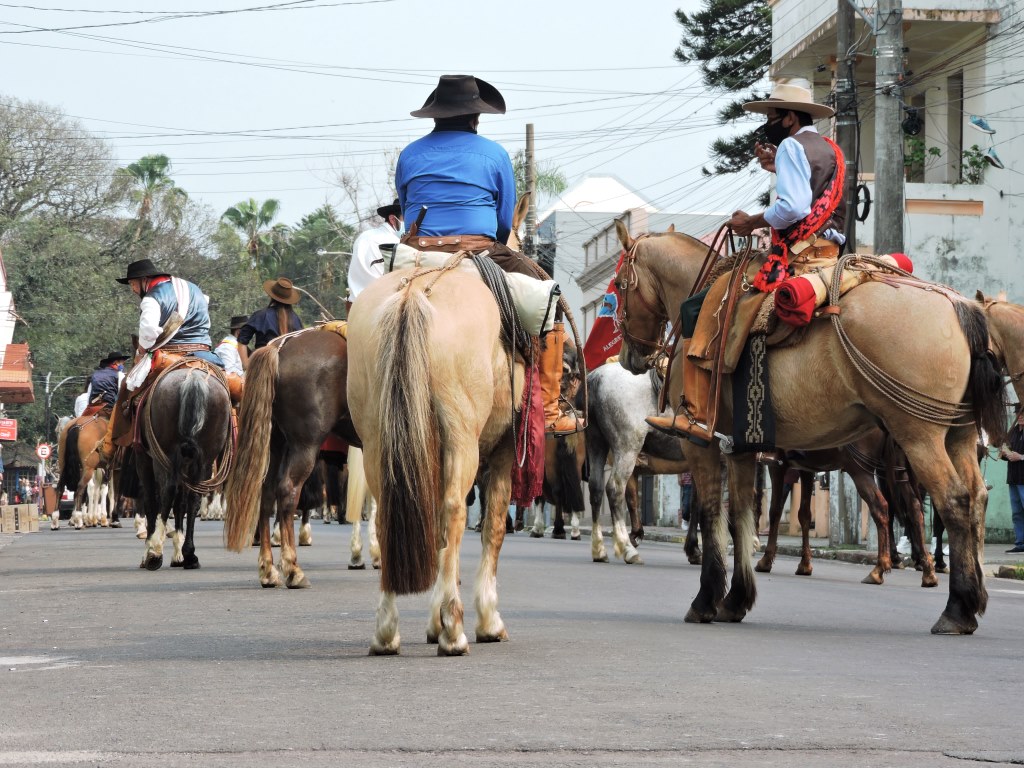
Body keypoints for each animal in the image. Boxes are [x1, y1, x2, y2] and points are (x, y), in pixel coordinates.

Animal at [134, 360, 232, 573]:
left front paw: (149, 551)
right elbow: (182, 502)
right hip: (203, 458)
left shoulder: (144, 459)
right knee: (193, 496)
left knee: (167, 492)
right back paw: (189, 554)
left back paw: (155, 552)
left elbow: (152, 502)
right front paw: (179, 553)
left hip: (163, 457)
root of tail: (193, 377)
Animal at [610, 224, 1003, 638]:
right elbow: (741, 515)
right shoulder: (742, 447)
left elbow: (711, 512)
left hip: (918, 435)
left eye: (619, 285)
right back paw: (973, 596)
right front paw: (736, 599)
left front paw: (706, 599)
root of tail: (957, 305)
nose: (628, 356)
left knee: (952, 502)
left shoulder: (703, 445)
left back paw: (956, 608)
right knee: (976, 498)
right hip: (958, 434)